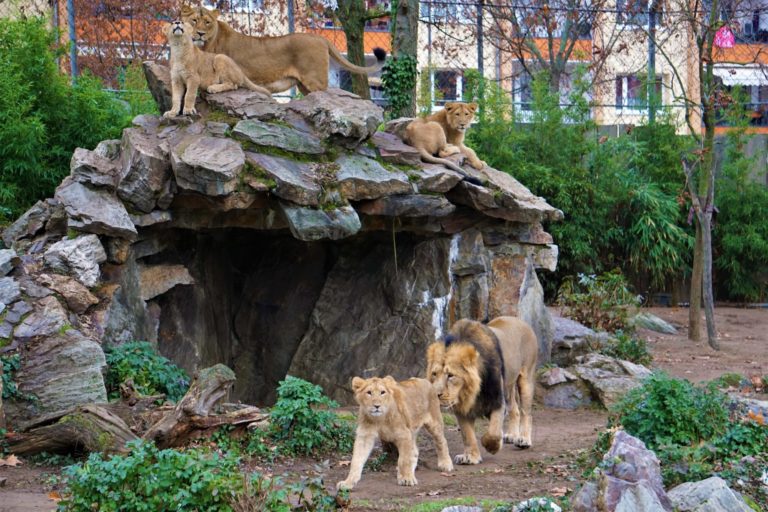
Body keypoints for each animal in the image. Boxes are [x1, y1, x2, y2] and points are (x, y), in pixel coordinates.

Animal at [180, 5, 386, 94]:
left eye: (207, 22)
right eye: (194, 20)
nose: (200, 33)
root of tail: (321, 38)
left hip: (316, 82)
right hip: (304, 87)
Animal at [426, 316, 538, 465]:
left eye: (450, 375)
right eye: (434, 374)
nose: (435, 394)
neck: (471, 392)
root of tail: (519, 320)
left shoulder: (497, 400)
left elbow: (493, 431)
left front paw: (492, 446)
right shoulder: (462, 408)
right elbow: (467, 434)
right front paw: (470, 457)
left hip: (526, 379)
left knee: (526, 412)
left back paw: (524, 440)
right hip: (508, 387)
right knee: (515, 410)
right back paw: (511, 435)